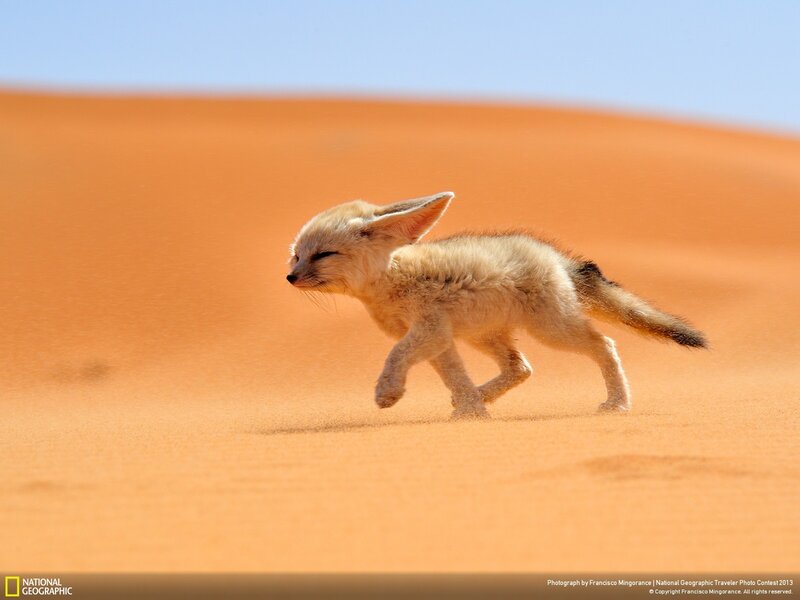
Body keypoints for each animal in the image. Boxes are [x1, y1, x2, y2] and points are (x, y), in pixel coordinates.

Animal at [287, 191, 707, 419]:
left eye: (323, 255)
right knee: (521, 368)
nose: (290, 277)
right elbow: (454, 376)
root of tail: (555, 256)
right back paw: (479, 396)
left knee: (604, 344)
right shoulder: (440, 339)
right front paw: (472, 411)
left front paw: (388, 392)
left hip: (552, 331)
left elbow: (396, 355)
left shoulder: (428, 330)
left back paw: (618, 403)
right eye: (296, 255)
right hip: (484, 336)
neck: (392, 279)